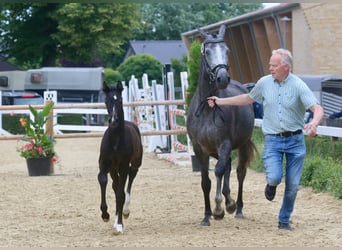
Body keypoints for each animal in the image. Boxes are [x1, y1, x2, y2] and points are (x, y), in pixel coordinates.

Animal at [187, 25, 256, 227]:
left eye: (227, 50)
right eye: (207, 52)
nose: (223, 78)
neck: (208, 107)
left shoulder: (224, 143)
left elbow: (218, 171)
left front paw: (219, 209)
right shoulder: (199, 148)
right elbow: (206, 181)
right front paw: (207, 215)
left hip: (240, 145)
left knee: (239, 172)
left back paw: (237, 207)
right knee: (227, 166)